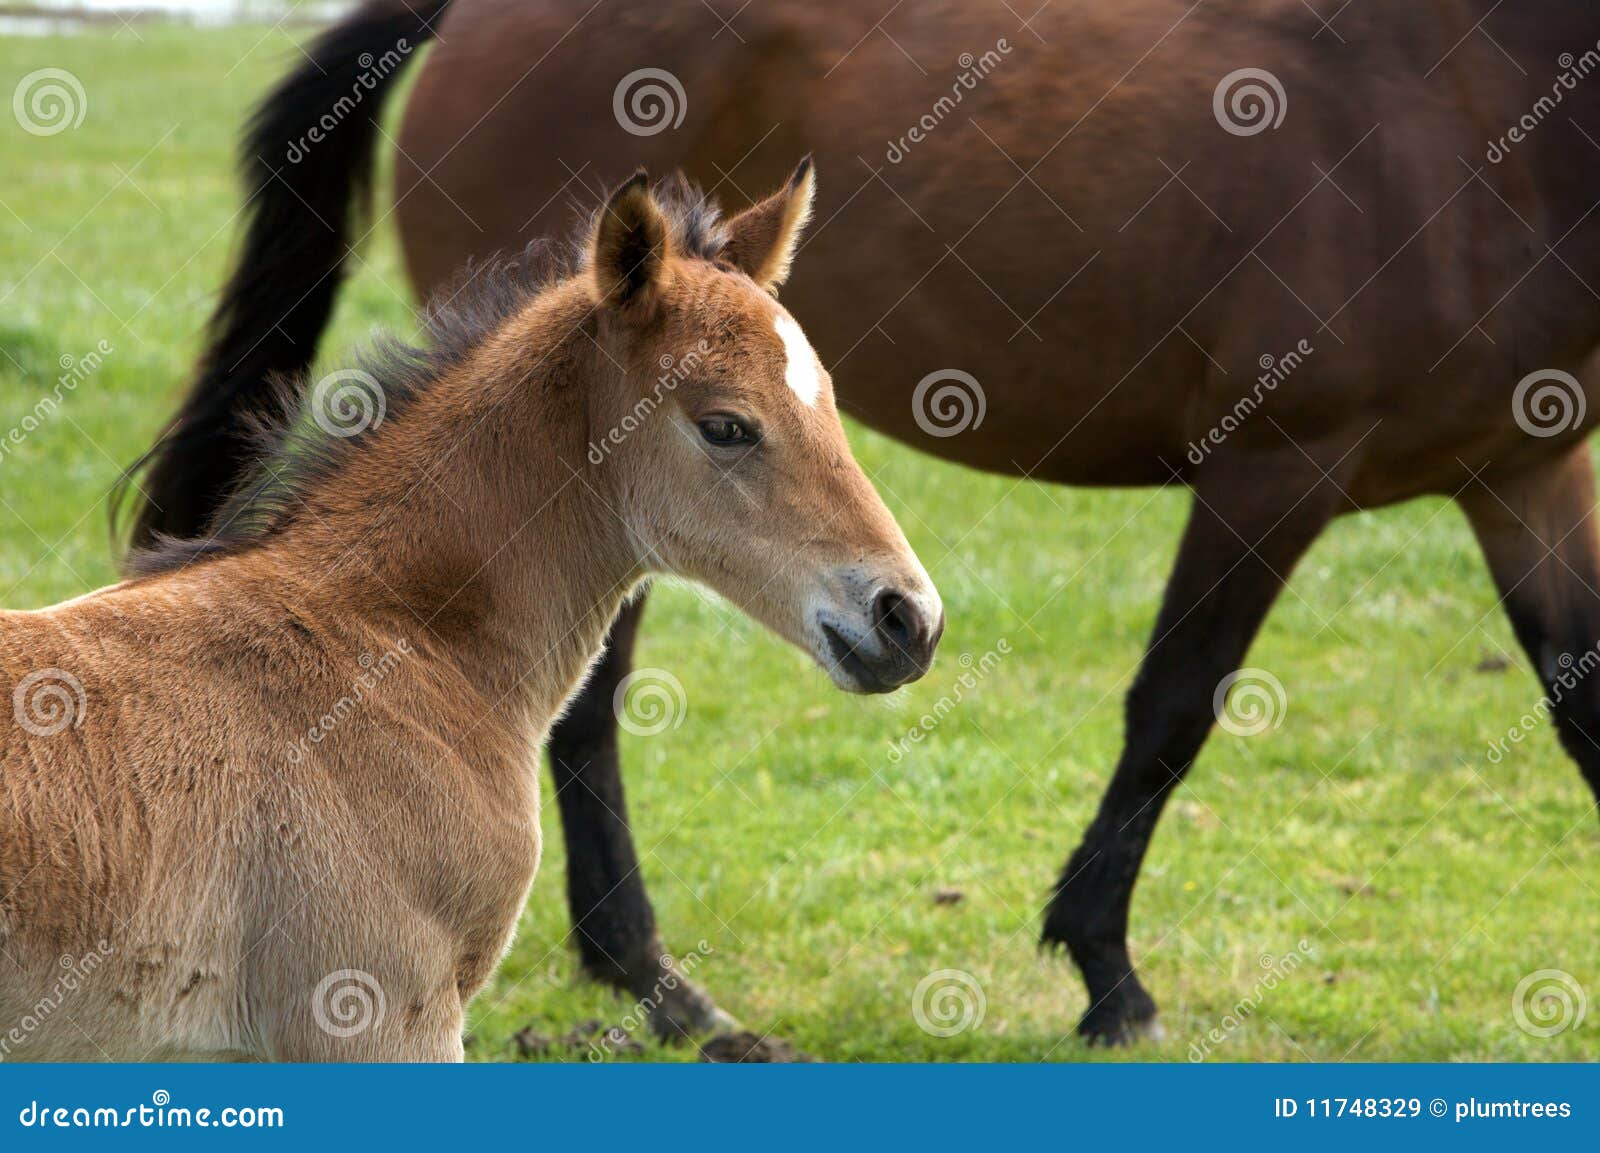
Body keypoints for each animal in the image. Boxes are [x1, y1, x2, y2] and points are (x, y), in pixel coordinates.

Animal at [128, 0, 1600, 1042]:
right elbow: (1175, 705)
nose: (908, 620)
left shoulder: (1526, 474)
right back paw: (653, 977)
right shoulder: (1273, 465)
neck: (1476, 99)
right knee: (588, 703)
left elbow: (1581, 709)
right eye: (731, 423)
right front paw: (1106, 971)